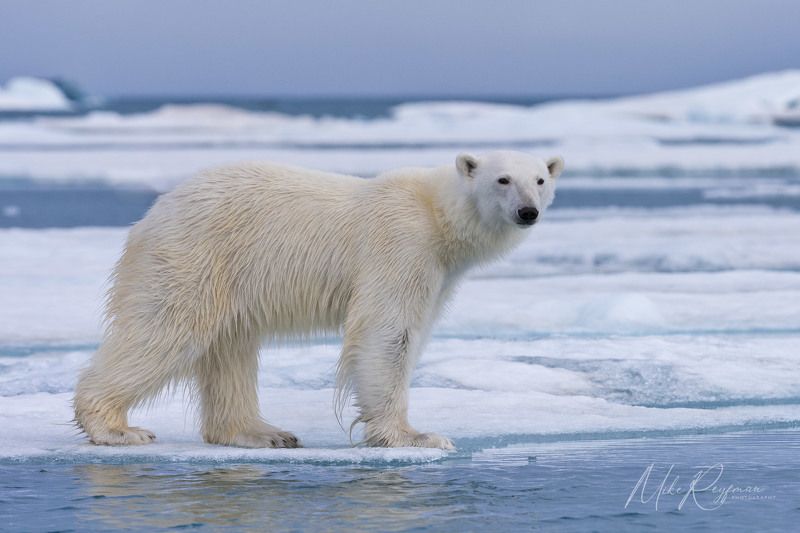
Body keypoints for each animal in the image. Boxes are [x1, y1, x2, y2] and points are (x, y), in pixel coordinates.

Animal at [73, 150, 563, 449]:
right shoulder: (402, 247)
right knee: (165, 330)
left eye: (540, 179)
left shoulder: (440, 273)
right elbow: (387, 332)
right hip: (194, 257)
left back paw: (263, 433)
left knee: (230, 348)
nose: (528, 211)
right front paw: (416, 436)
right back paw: (115, 428)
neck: (436, 215)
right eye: (502, 179)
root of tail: (151, 215)